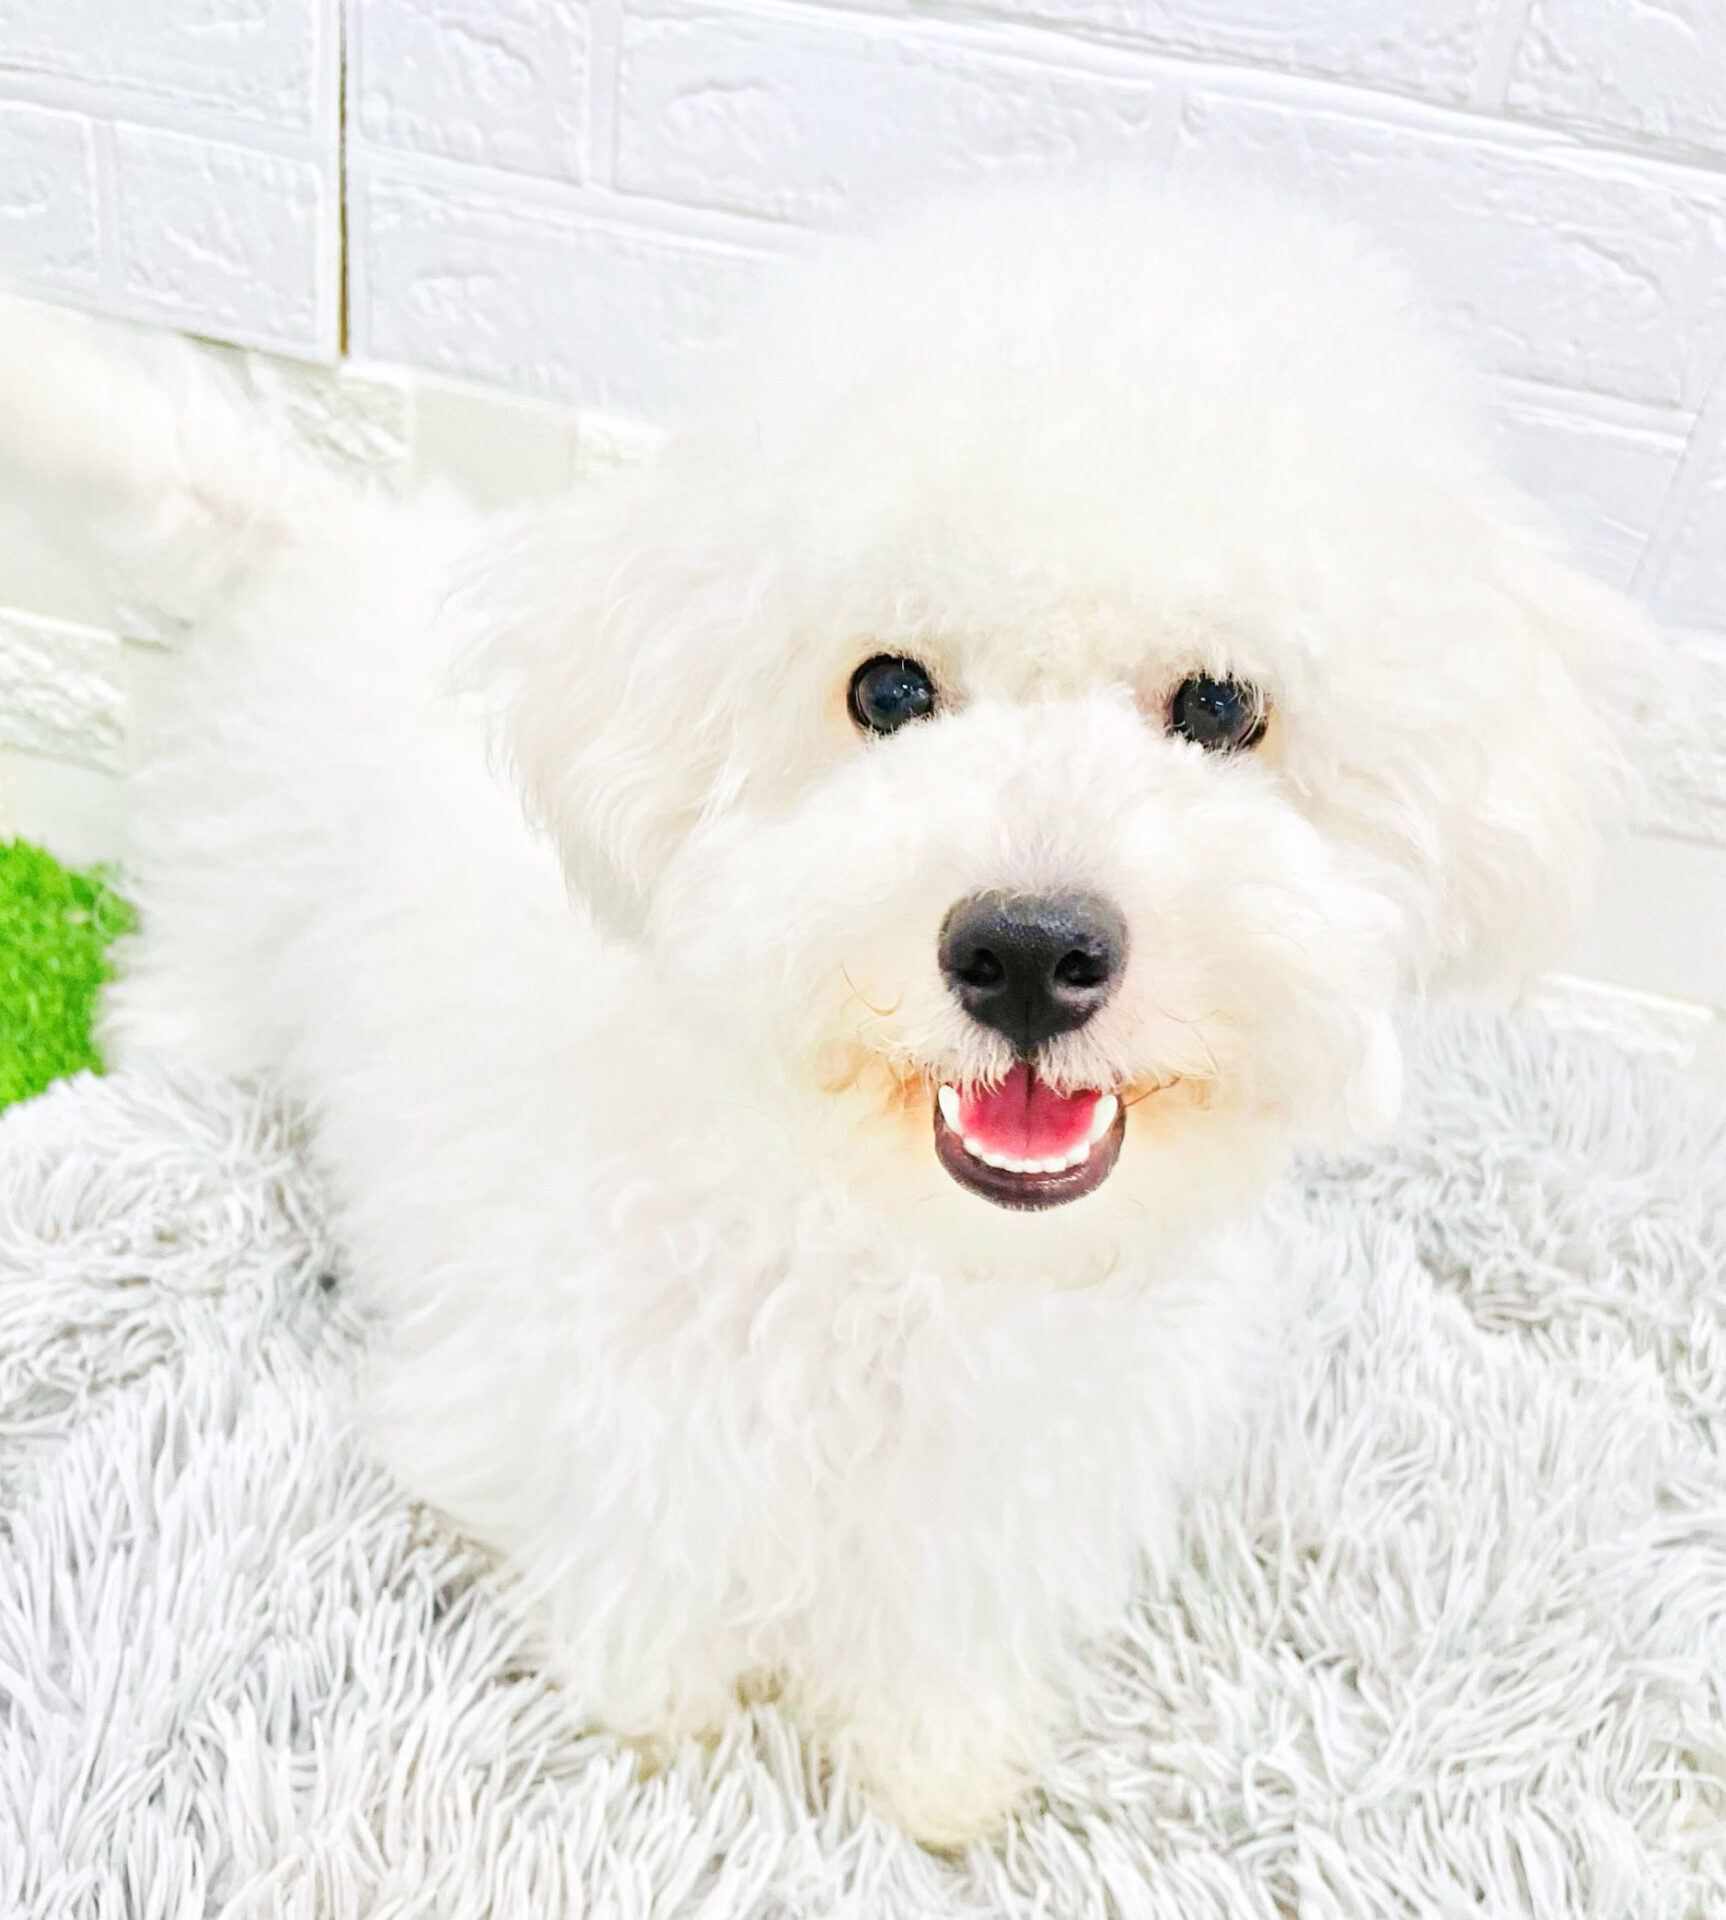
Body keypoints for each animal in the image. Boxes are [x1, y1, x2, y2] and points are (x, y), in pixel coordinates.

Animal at [0, 180, 1649, 1846]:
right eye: (887, 691)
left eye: (1220, 707)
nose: (1026, 949)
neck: (892, 1237)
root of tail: (332, 540)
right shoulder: (606, 1408)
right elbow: (644, 1595)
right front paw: (662, 1753)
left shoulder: (1005, 1474)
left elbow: (946, 1632)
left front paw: (940, 1782)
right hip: (225, 952)